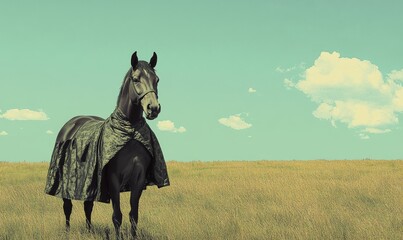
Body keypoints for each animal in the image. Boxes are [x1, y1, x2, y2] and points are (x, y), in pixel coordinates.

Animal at [45, 51, 170, 239]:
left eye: (157, 79)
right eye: (135, 79)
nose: (153, 108)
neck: (129, 131)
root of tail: (72, 123)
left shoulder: (139, 179)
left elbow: (134, 215)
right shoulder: (113, 178)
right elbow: (117, 216)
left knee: (87, 206)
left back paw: (89, 231)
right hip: (65, 183)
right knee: (67, 207)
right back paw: (67, 232)